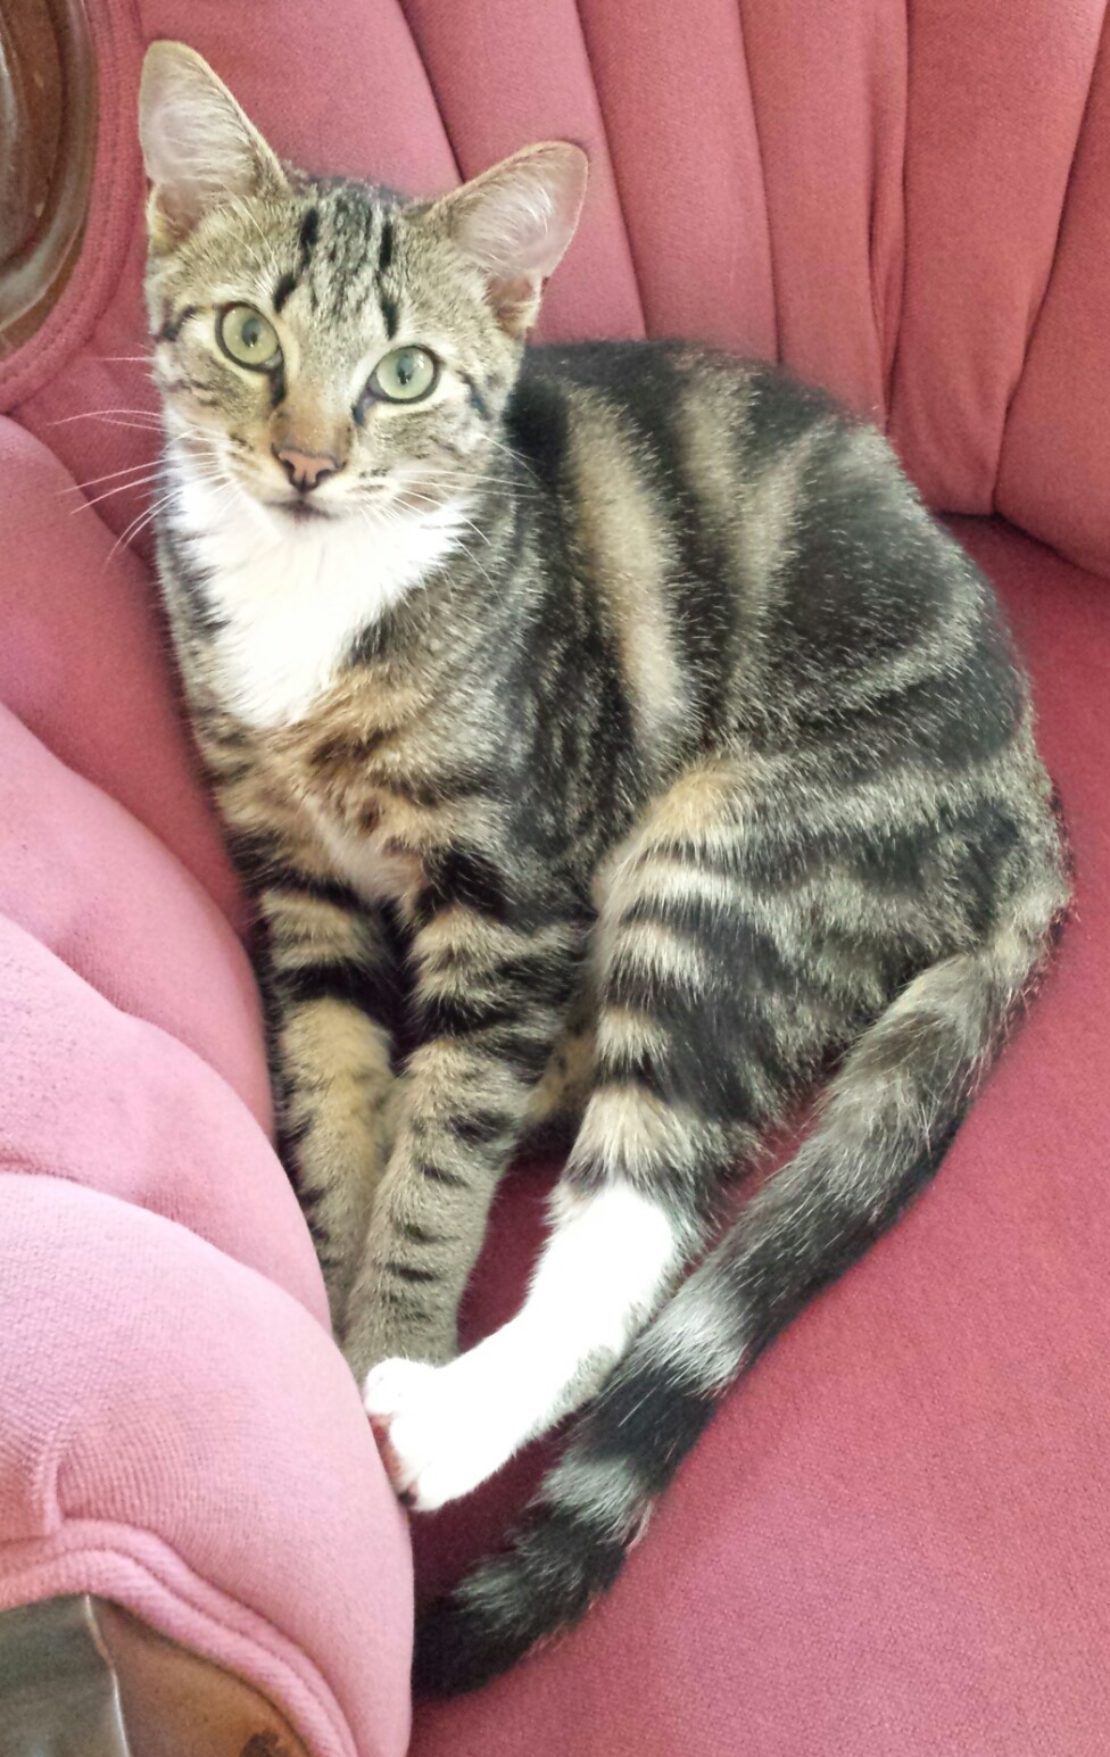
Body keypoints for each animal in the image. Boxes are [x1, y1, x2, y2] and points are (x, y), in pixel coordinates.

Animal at [138, 37, 1067, 1686]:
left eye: (403, 374)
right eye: (247, 334)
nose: (305, 463)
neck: (317, 601)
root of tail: (1028, 807)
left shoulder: (514, 885)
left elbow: (440, 1166)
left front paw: (381, 1336)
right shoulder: (294, 880)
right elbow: (334, 1079)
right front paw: (336, 1241)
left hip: (724, 855)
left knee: (638, 1221)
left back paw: (447, 1415)